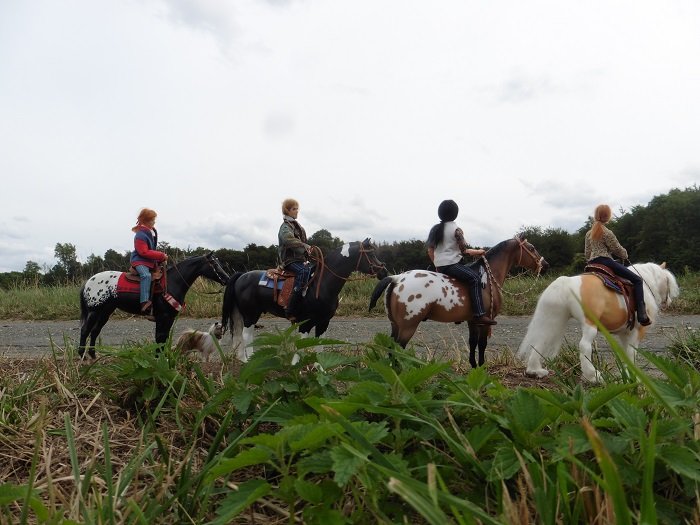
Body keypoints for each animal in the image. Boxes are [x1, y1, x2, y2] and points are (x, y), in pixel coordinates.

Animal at [78, 252, 229, 359]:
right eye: (214, 264)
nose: (227, 279)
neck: (172, 283)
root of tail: (88, 281)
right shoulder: (163, 317)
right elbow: (160, 338)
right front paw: (158, 358)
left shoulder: (169, 319)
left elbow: (164, 338)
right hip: (94, 311)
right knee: (85, 330)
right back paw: (82, 356)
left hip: (106, 311)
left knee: (95, 331)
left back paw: (93, 355)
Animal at [221, 238, 388, 361]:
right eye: (370, 254)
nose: (384, 271)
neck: (322, 284)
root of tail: (241, 276)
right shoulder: (304, 323)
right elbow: (300, 346)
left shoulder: (323, 322)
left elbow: (319, 345)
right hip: (250, 314)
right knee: (246, 336)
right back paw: (249, 361)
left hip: (240, 314)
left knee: (239, 335)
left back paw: (243, 360)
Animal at [369, 235, 547, 367]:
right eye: (532, 248)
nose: (544, 265)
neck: (487, 278)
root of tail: (396, 278)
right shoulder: (485, 322)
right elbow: (482, 344)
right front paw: (482, 366)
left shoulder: (473, 321)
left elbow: (473, 343)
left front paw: (474, 366)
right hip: (407, 327)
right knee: (397, 350)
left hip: (395, 326)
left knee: (391, 349)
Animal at [517, 262, 680, 383]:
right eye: (667, 281)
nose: (668, 302)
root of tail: (568, 282)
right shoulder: (638, 330)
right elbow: (632, 352)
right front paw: (635, 377)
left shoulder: (626, 332)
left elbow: (627, 352)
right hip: (590, 325)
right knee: (584, 346)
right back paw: (593, 376)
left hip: (554, 321)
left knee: (540, 343)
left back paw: (535, 370)